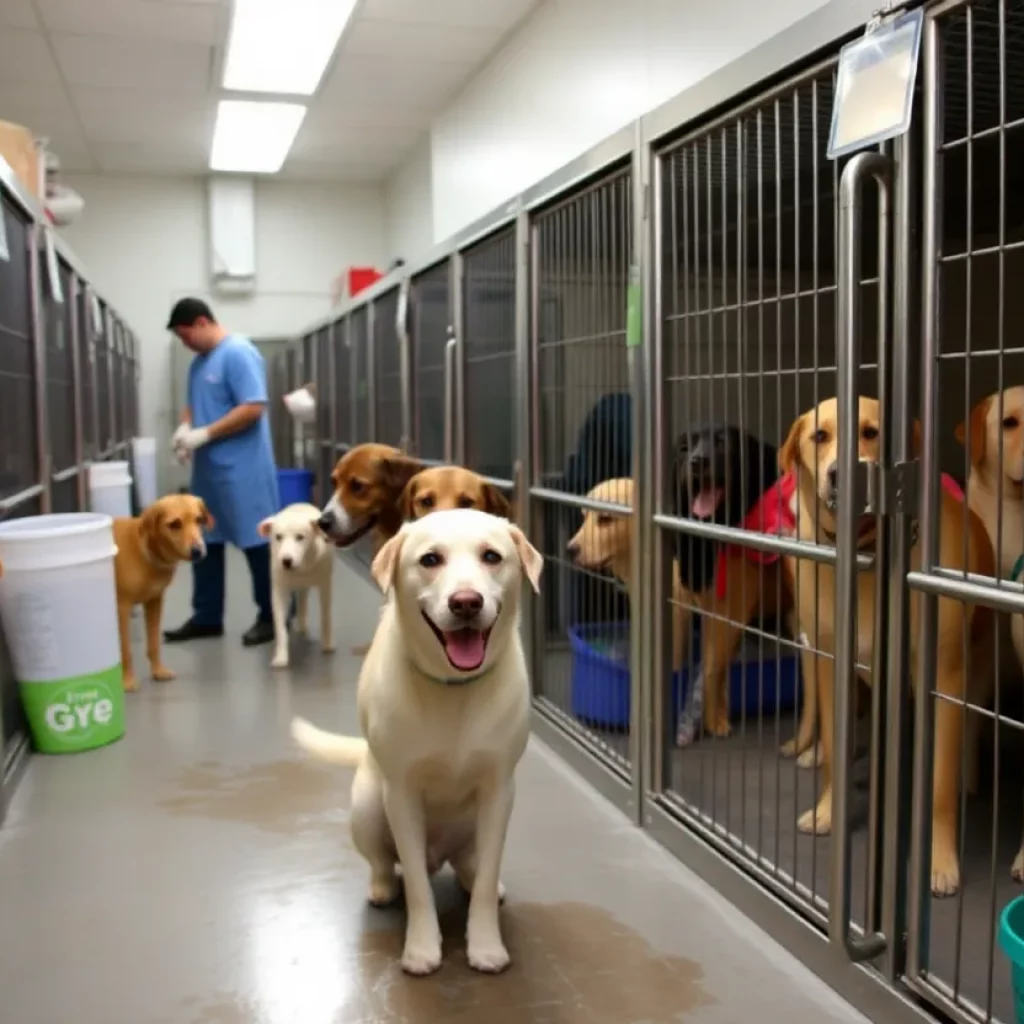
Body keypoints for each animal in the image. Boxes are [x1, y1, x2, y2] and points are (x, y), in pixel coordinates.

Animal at [260, 499, 335, 667]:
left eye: (300, 537)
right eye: (278, 537)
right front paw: (281, 657)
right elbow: (280, 626)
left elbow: (326, 616)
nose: (286, 561)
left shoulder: (325, 586)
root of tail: (300, 503)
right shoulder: (279, 590)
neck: (301, 569)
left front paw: (327, 645)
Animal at [290, 509, 544, 974]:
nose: (466, 602)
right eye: (430, 559)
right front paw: (422, 949)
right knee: (385, 864)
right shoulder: (402, 795)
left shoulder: (499, 791)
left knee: (472, 868)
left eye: (491, 556)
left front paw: (486, 946)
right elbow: (419, 889)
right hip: (367, 808)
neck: (454, 688)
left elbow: (483, 883)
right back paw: (382, 888)